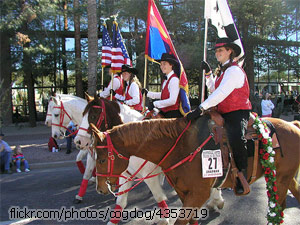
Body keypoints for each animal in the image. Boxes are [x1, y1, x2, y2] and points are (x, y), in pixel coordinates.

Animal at [91, 115, 300, 224]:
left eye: (101, 159)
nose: (100, 189)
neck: (181, 146)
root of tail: (292, 125)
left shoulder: (198, 193)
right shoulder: (183, 192)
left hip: (281, 179)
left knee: (278, 207)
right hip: (285, 178)